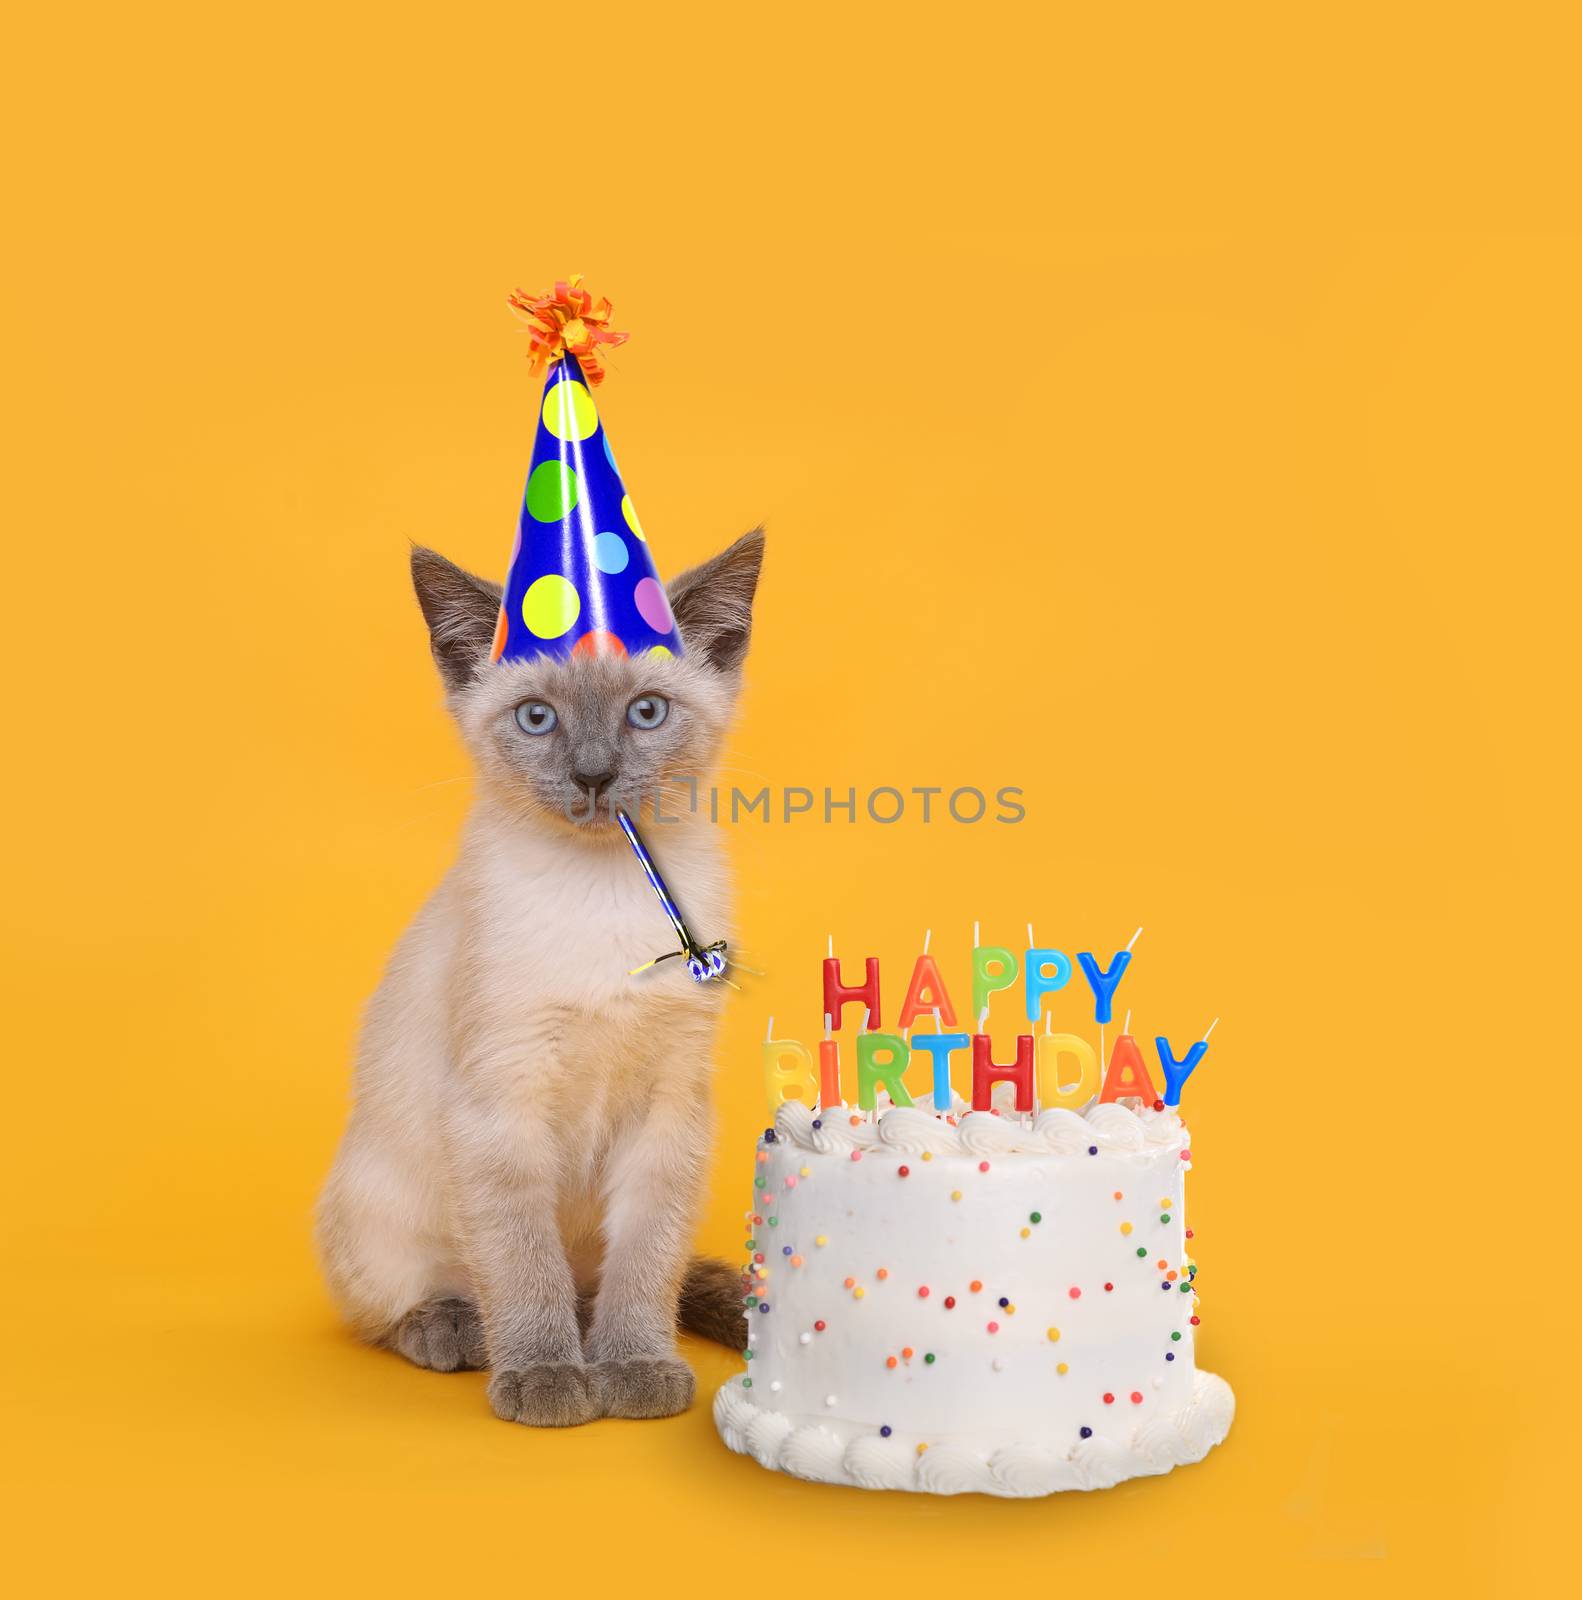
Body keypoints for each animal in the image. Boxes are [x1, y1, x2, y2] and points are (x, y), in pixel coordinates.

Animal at [315, 524, 758, 1427]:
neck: (604, 890)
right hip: (378, 1210)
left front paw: (634, 1368)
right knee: (401, 1305)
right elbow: (525, 1266)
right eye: (537, 718)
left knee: (600, 1289)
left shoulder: (669, 1111)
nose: (592, 775)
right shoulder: (501, 1106)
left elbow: (646, 1267)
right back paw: (456, 1331)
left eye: (646, 712)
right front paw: (547, 1377)